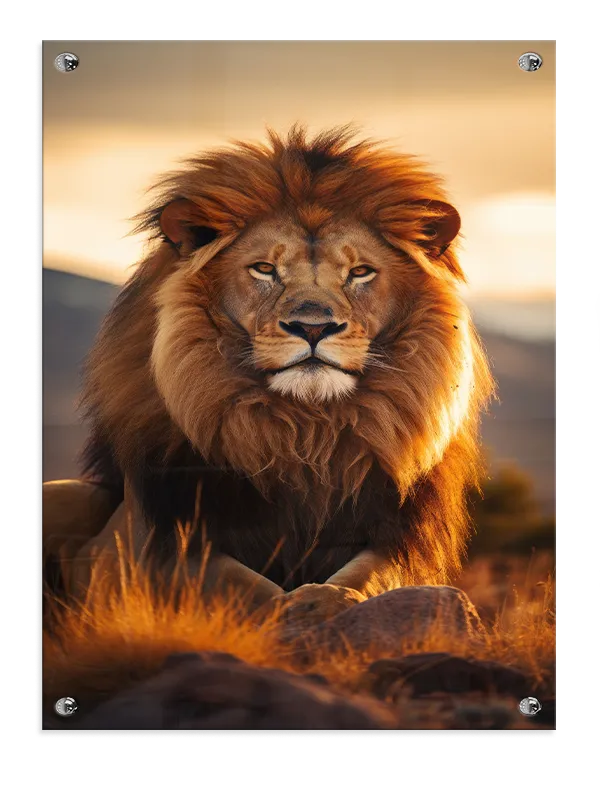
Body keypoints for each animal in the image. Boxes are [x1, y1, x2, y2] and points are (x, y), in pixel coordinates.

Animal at [43, 126, 493, 620]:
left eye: (360, 272)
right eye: (264, 269)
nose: (313, 326)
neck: (307, 431)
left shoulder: (398, 538)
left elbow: (367, 576)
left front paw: (329, 598)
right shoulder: (166, 544)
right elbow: (244, 585)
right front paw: (296, 606)